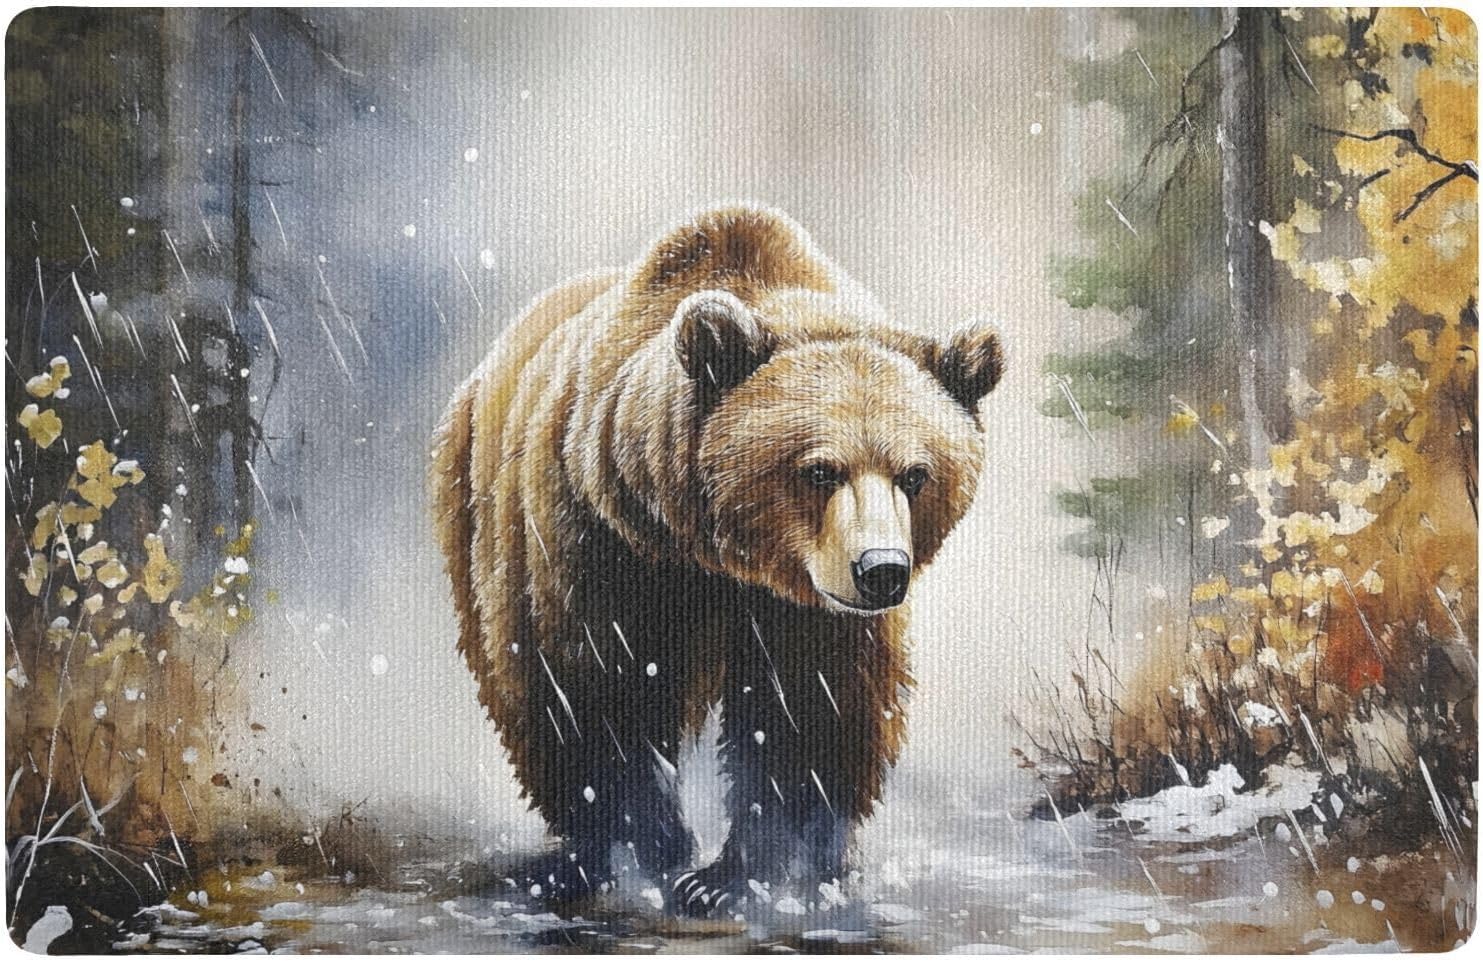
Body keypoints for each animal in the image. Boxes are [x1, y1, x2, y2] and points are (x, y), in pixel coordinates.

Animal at [429, 205, 1003, 916]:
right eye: (819, 470)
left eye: (916, 474)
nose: (882, 570)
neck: (705, 549)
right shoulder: (595, 541)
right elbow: (588, 689)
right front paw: (658, 848)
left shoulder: (808, 610)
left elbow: (807, 711)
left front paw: (737, 874)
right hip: (469, 495)